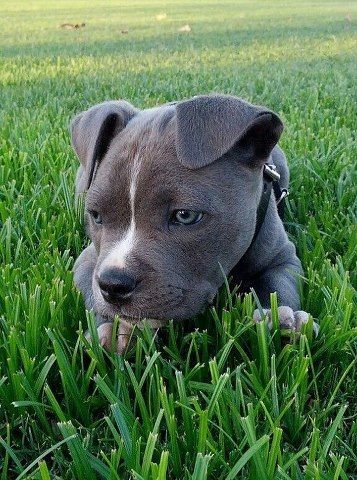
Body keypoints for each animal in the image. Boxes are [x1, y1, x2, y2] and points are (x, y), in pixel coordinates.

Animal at [70, 95, 314, 354]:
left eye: (185, 215)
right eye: (96, 215)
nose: (113, 285)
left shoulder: (282, 257)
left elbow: (279, 284)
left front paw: (282, 320)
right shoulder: (89, 261)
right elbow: (91, 292)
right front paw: (114, 327)